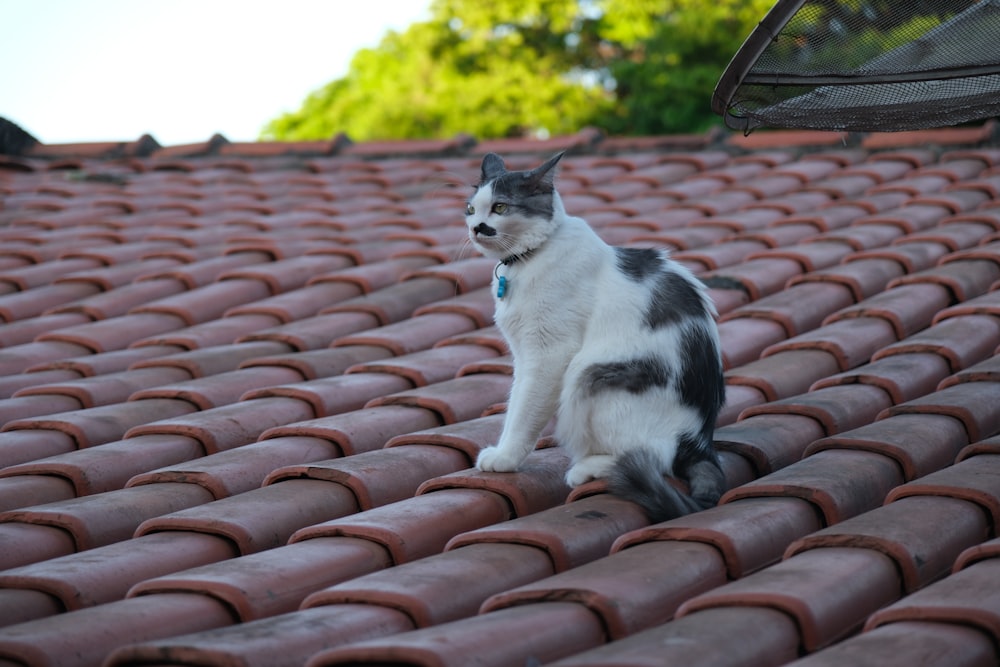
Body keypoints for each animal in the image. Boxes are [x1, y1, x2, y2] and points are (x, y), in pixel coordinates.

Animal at [464, 151, 724, 520]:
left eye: (499, 207)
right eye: (471, 209)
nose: (475, 228)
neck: (530, 259)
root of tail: (699, 441)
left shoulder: (548, 354)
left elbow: (524, 412)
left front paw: (505, 458)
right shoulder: (523, 356)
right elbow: (514, 403)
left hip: (592, 375)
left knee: (652, 458)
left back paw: (588, 468)